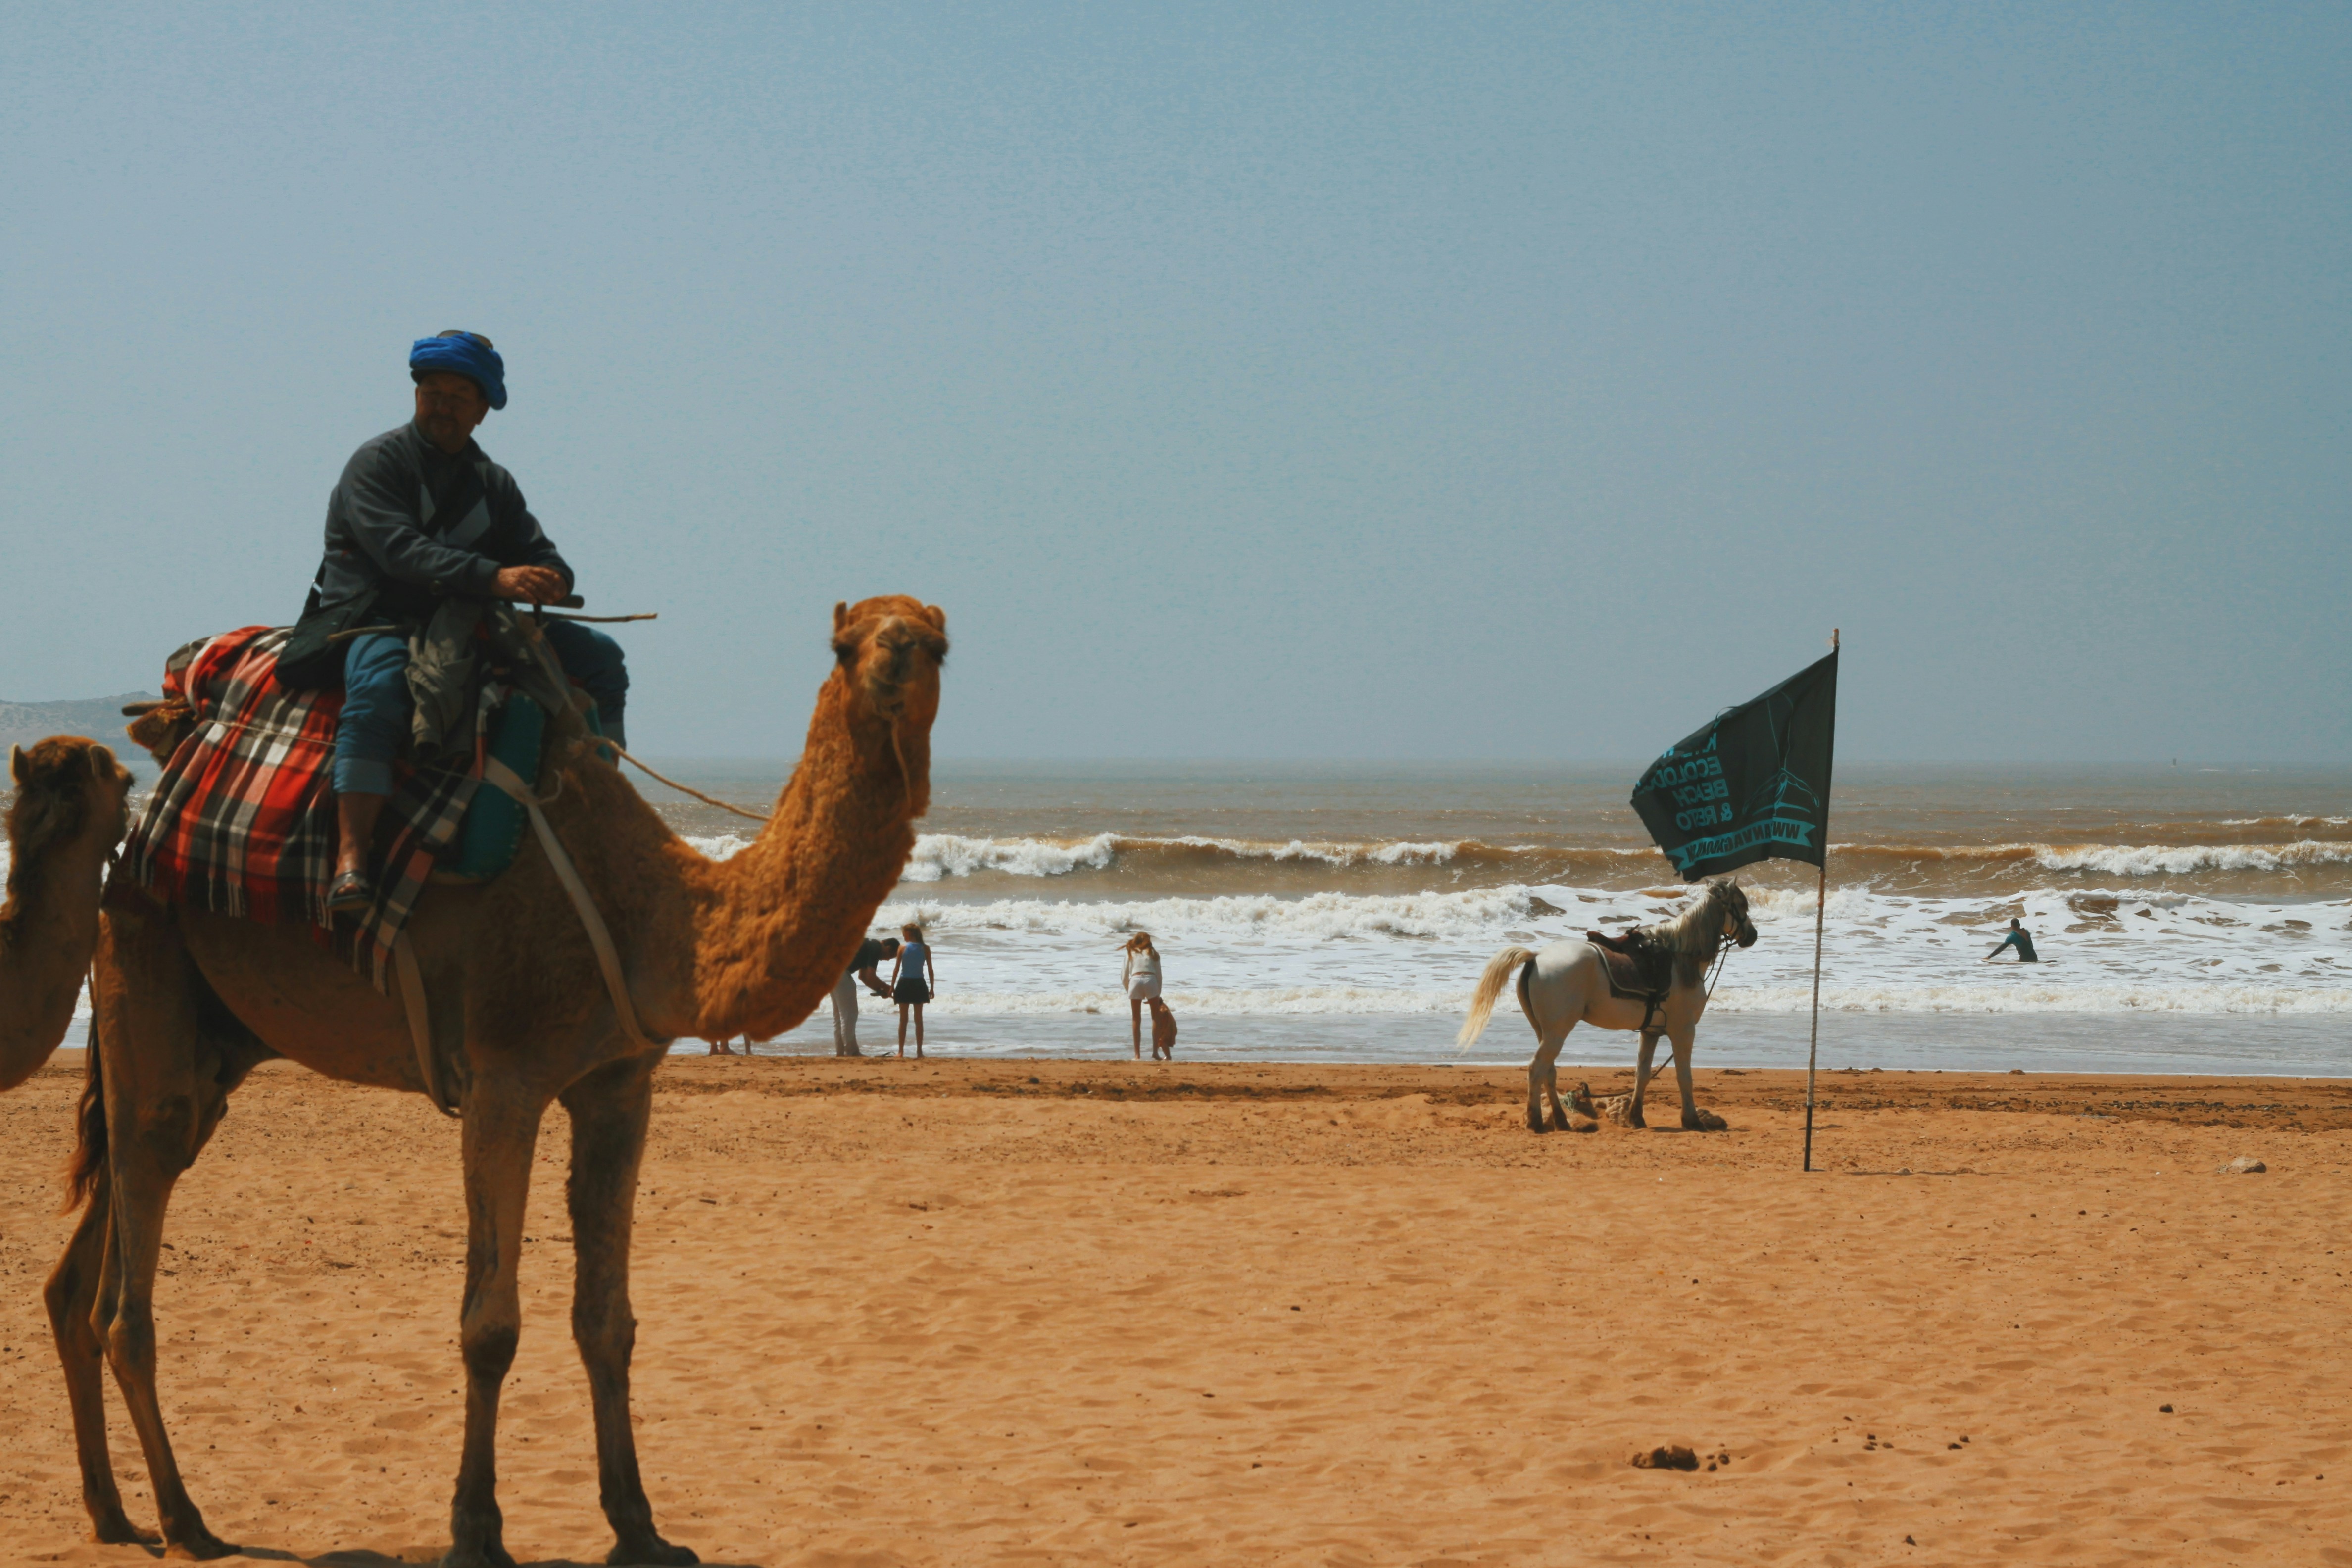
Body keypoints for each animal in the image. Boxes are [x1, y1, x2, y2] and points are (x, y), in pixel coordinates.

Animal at [46, 596, 948, 1566]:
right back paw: (186, 1518)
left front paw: (641, 1526)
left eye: (936, 643)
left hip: (214, 1039)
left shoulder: (617, 1084)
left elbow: (607, 1318)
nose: (896, 658)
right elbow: (490, 1325)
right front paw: (476, 1528)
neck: (652, 911)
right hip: (148, 960)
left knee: (84, 1268)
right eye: (844, 645)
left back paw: (113, 1512)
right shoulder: (503, 1075)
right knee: (126, 1280)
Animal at [1455, 879, 1756, 1133]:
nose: (1752, 935)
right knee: (1536, 1068)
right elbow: (1685, 1077)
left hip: (1544, 1031)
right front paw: (1692, 1121)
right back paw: (1536, 1122)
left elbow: (1642, 1075)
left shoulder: (1650, 1033)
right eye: (1741, 906)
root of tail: (1536, 957)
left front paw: (1636, 1118)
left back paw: (1562, 1121)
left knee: (1548, 1072)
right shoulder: (1684, 1031)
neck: (1679, 960)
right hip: (1557, 1032)